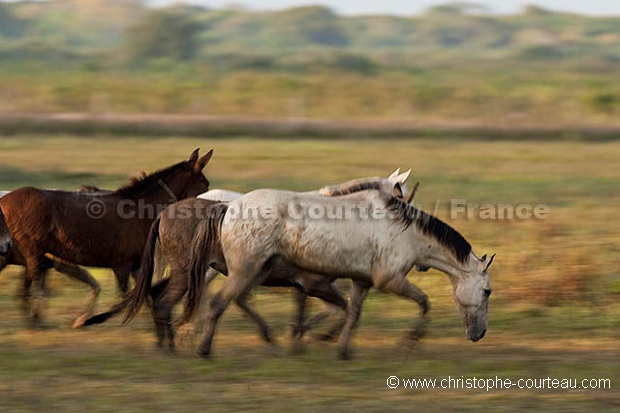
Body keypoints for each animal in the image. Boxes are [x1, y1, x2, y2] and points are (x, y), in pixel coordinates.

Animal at [0, 148, 213, 326]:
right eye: (205, 183)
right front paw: (88, 319)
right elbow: (127, 297)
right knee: (30, 286)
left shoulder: (136, 265)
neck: (138, 212)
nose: (211, 207)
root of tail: (4, 199)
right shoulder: (121, 265)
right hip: (31, 252)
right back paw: (36, 320)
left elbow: (145, 294)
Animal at [189, 187, 494, 358]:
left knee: (234, 301)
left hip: (258, 271)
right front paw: (408, 344)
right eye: (487, 291)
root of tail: (229, 206)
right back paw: (204, 349)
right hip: (244, 271)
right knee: (218, 303)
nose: (480, 333)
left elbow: (352, 314)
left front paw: (342, 349)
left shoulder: (362, 281)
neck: (406, 232)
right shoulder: (390, 280)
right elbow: (424, 303)